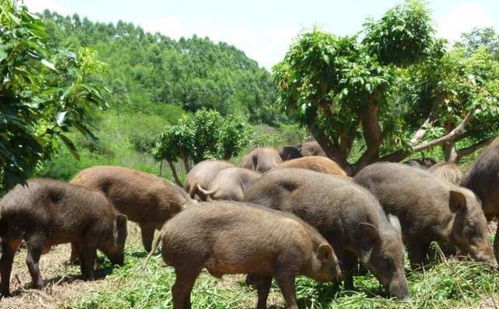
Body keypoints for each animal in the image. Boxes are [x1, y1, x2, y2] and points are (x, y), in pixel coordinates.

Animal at [0, 178, 128, 296]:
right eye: (125, 237)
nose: (122, 263)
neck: (109, 224)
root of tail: (5, 205)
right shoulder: (91, 236)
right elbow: (90, 258)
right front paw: (92, 279)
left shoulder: (78, 240)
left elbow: (82, 258)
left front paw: (84, 276)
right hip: (35, 230)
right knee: (30, 259)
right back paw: (44, 287)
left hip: (10, 237)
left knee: (5, 261)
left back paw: (6, 294)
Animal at [150, 201, 342, 306]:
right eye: (335, 262)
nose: (340, 276)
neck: (307, 247)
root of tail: (166, 228)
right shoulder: (285, 266)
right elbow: (289, 294)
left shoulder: (266, 269)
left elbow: (263, 292)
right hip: (188, 262)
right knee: (177, 291)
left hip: (188, 266)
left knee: (185, 291)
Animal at [244, 168, 408, 298]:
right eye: (386, 258)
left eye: (402, 255)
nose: (406, 298)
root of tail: (250, 191)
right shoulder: (337, 243)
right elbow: (344, 267)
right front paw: (342, 290)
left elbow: (350, 267)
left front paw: (350, 290)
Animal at [356, 162, 496, 268]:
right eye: (471, 224)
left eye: (485, 222)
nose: (495, 264)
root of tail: (357, 175)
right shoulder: (413, 232)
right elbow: (416, 257)